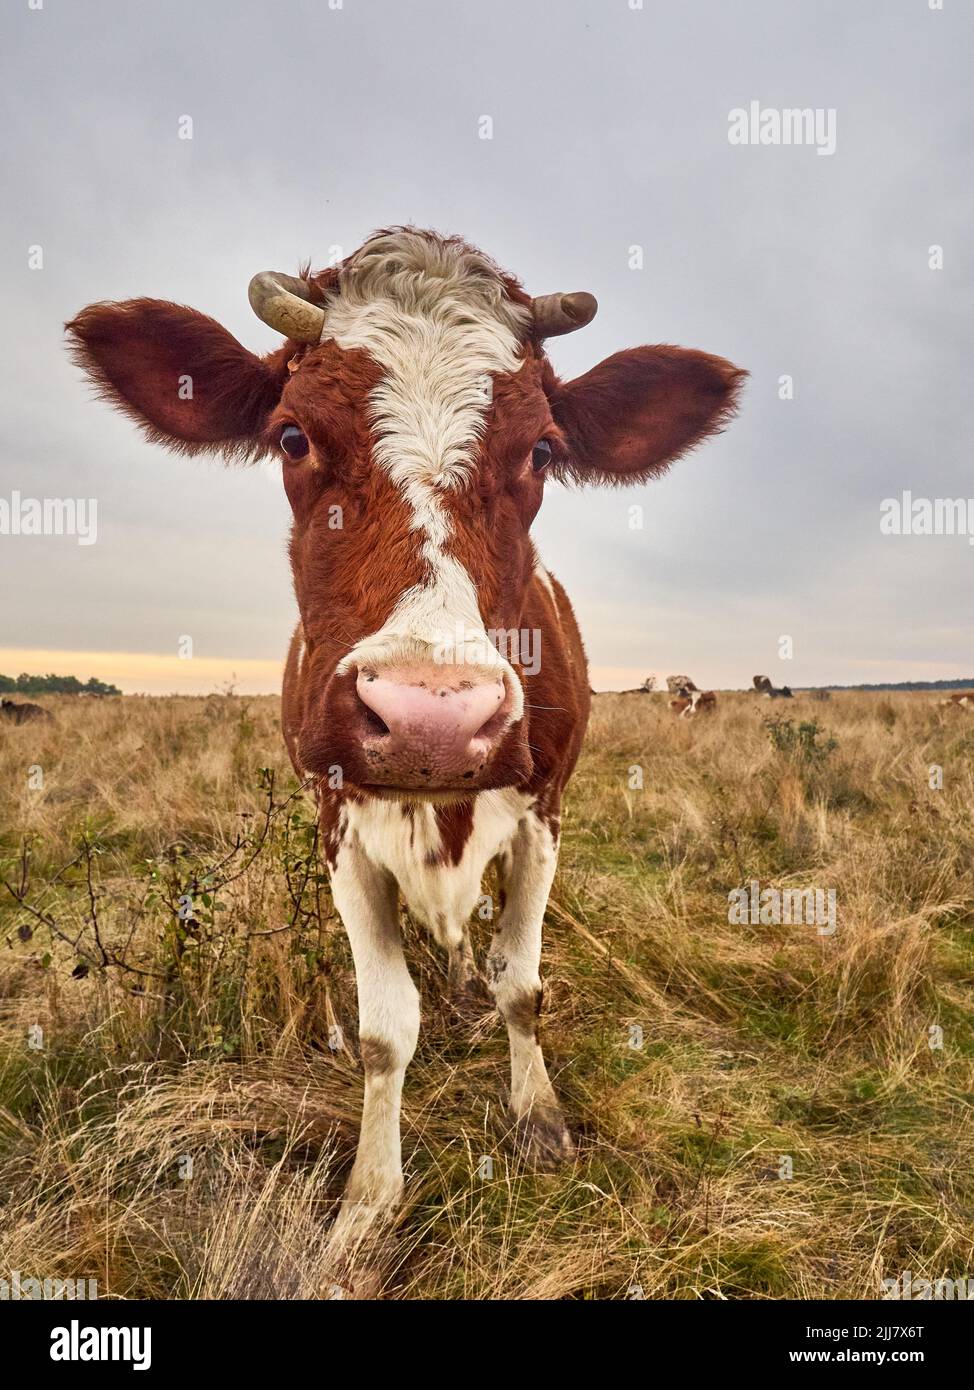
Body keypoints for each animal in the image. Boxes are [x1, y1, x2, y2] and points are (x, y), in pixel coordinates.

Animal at [67, 227, 745, 1286]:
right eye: (293, 437)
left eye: (541, 449)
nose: (431, 717)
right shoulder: (338, 831)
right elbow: (385, 1031)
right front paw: (365, 1205)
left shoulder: (545, 815)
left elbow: (524, 984)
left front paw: (537, 1117)